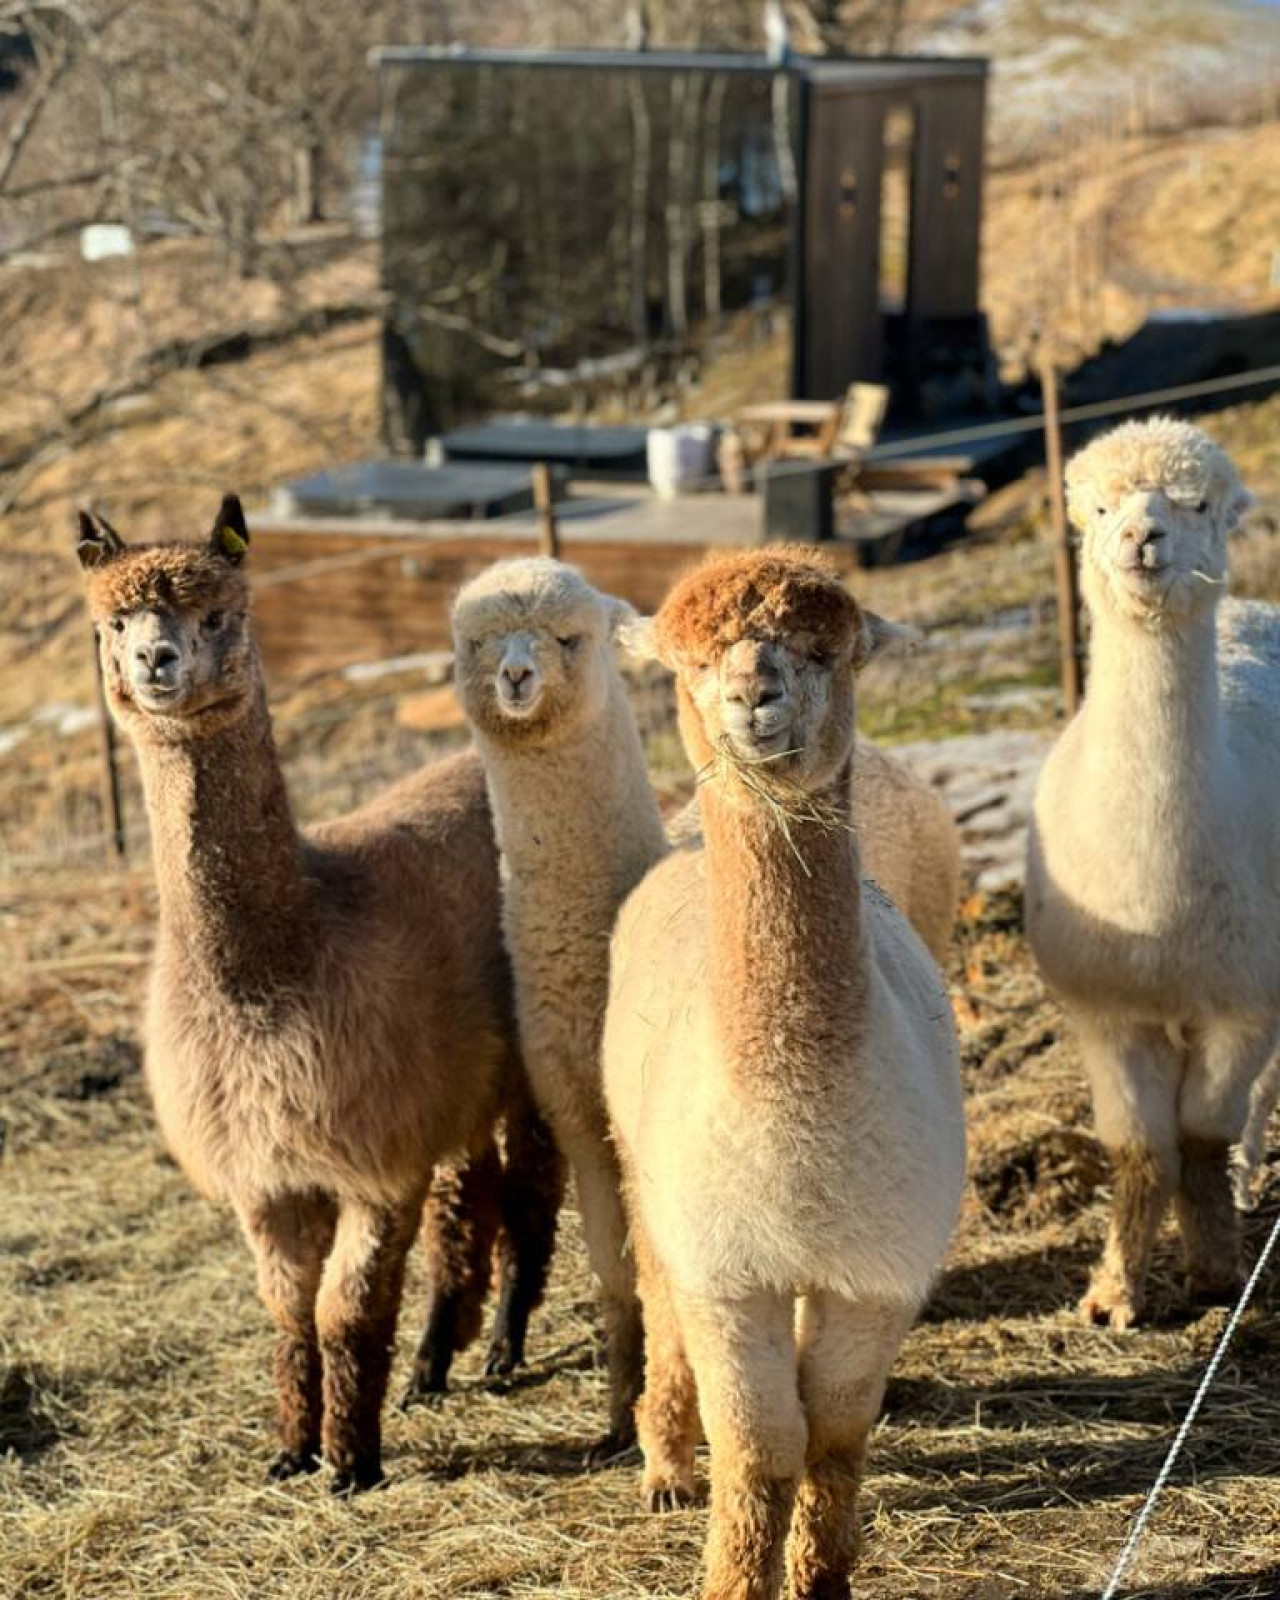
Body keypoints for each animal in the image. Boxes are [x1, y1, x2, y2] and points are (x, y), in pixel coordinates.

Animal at [75, 499, 561, 1491]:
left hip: (521, 1063)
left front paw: (352, 1462)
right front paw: (292, 1449)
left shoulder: (371, 1158)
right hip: (454, 1088)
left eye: (218, 614)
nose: (157, 661)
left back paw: (500, 1349)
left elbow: (347, 1309)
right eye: (115, 622)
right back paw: (430, 1368)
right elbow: (288, 1311)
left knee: (530, 1197)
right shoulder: (267, 1173)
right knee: (468, 1207)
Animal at [603, 548, 966, 1600]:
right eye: (688, 664)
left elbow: (834, 1437)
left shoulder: (878, 1272)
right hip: (644, 1164)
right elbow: (761, 1449)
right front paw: (735, 1573)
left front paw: (821, 1574)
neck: (798, 1116)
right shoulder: (728, 1271)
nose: (751, 694)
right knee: (656, 1293)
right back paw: (666, 1463)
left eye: (824, 652)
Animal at [1025, 417, 1280, 1329]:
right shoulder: (1109, 1013)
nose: (1142, 537)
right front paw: (1111, 1297)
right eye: (1098, 508)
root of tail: (1251, 610)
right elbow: (1141, 1153)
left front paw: (1213, 1272)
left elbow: (1200, 1137)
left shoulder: (1242, 1003)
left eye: (1197, 504)